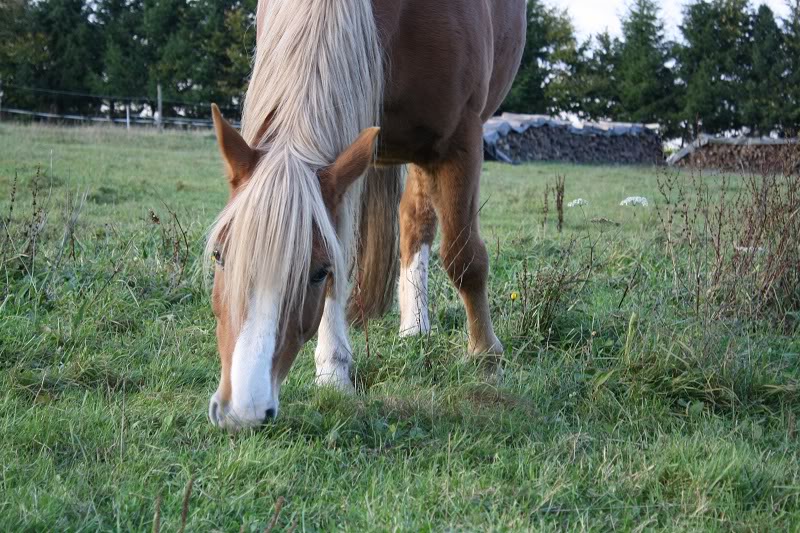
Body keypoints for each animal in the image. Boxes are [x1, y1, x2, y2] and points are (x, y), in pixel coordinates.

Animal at [206, 0, 528, 428]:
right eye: (219, 256)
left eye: (317, 273)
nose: (244, 411)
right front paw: (333, 372)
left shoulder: (459, 141)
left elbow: (465, 259)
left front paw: (487, 359)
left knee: (419, 223)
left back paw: (418, 327)